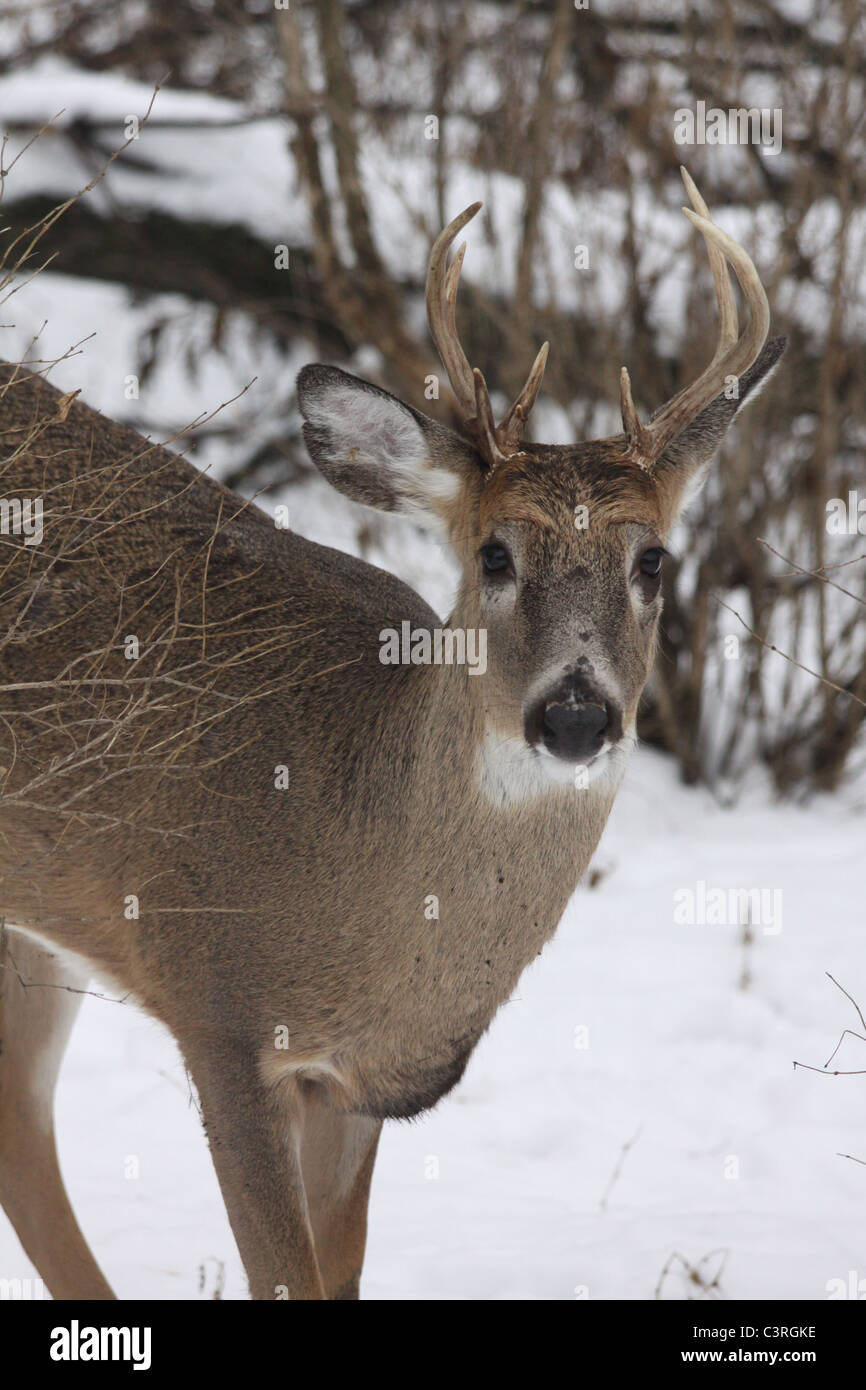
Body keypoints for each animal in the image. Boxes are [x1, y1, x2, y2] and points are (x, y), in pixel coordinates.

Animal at [0, 173, 783, 1301]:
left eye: (654, 562)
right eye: (493, 554)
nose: (575, 714)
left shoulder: (355, 1088)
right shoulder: (216, 1006)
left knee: (19, 1128)